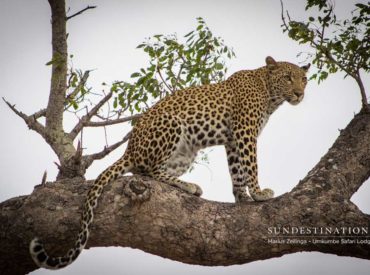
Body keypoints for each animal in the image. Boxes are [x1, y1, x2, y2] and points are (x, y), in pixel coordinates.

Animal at [28, 55, 310, 270]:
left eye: (304, 79)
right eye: (288, 77)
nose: (299, 93)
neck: (270, 94)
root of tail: (129, 149)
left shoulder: (233, 139)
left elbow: (237, 170)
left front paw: (242, 197)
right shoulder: (245, 131)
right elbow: (251, 165)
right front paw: (260, 193)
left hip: (186, 153)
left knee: (150, 173)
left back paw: (185, 184)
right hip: (173, 123)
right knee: (150, 171)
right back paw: (188, 186)